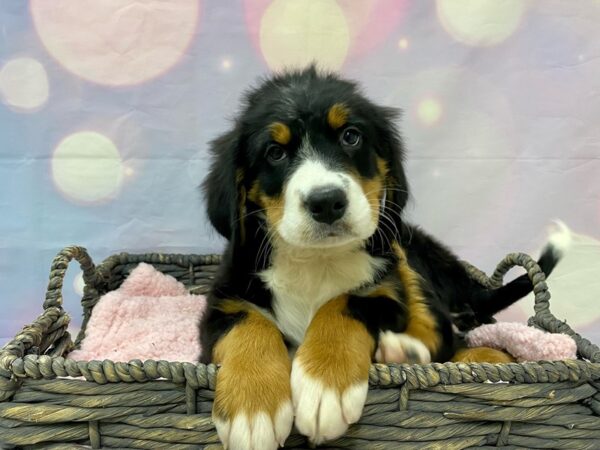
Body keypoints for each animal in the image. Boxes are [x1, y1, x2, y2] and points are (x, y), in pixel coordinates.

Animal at [198, 67, 568, 450]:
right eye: (274, 152)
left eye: (350, 136)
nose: (326, 201)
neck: (317, 260)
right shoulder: (225, 299)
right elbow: (249, 324)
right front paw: (252, 409)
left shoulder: (386, 289)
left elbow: (344, 301)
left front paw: (323, 385)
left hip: (406, 253)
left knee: (447, 335)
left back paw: (411, 352)